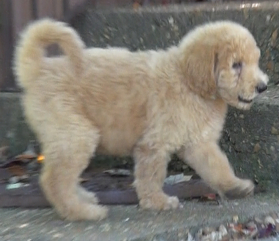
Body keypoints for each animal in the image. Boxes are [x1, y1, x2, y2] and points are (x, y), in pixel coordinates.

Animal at [13, 19, 270, 220]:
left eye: (254, 61)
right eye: (236, 65)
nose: (263, 86)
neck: (189, 82)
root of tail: (37, 69)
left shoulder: (199, 144)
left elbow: (218, 167)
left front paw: (235, 187)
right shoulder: (154, 144)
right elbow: (151, 176)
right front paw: (157, 202)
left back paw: (83, 199)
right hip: (76, 133)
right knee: (54, 179)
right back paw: (82, 211)